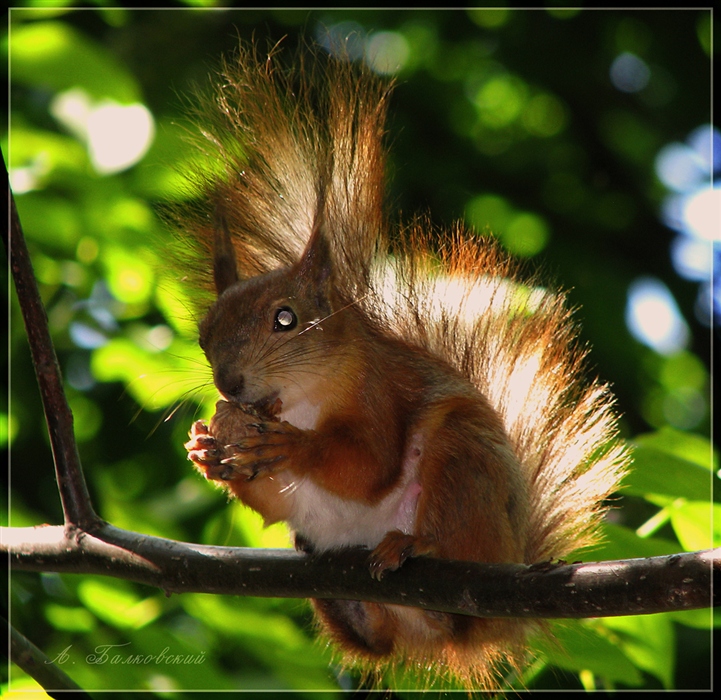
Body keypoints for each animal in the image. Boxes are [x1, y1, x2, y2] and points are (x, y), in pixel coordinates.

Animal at [180, 43, 632, 688]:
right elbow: (272, 502)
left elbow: (367, 464)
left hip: (462, 462)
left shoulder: (380, 391)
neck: (302, 400)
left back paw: (415, 548)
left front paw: (292, 447)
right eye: (203, 333)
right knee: (374, 636)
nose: (229, 383)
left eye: (286, 319)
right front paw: (206, 449)